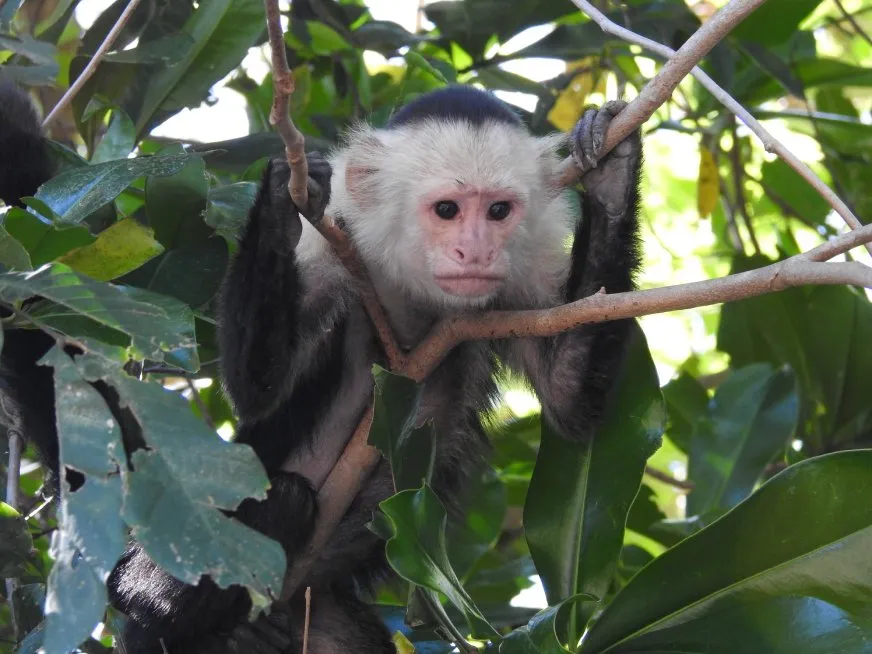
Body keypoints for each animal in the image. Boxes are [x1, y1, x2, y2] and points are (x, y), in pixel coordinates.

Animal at [0, 82, 642, 653]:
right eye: (448, 210)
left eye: (500, 211)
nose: (476, 251)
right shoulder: (333, 252)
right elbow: (256, 392)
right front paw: (277, 204)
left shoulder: (522, 277)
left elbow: (567, 400)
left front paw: (610, 173)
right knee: (272, 505)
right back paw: (173, 612)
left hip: (321, 609)